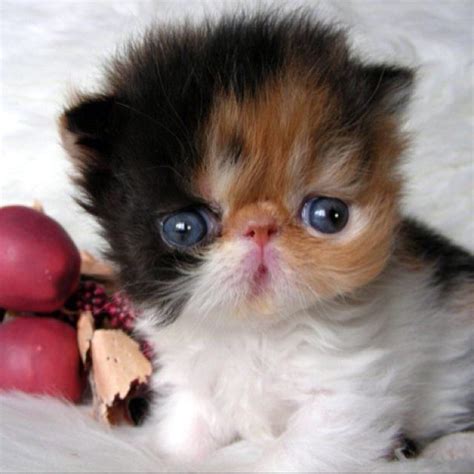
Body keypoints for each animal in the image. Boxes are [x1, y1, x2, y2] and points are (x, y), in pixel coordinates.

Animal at [59, 12, 474, 472]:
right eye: (184, 228)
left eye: (329, 216)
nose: (260, 227)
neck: (255, 330)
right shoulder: (198, 388)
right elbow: (184, 437)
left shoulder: (346, 398)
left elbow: (290, 456)